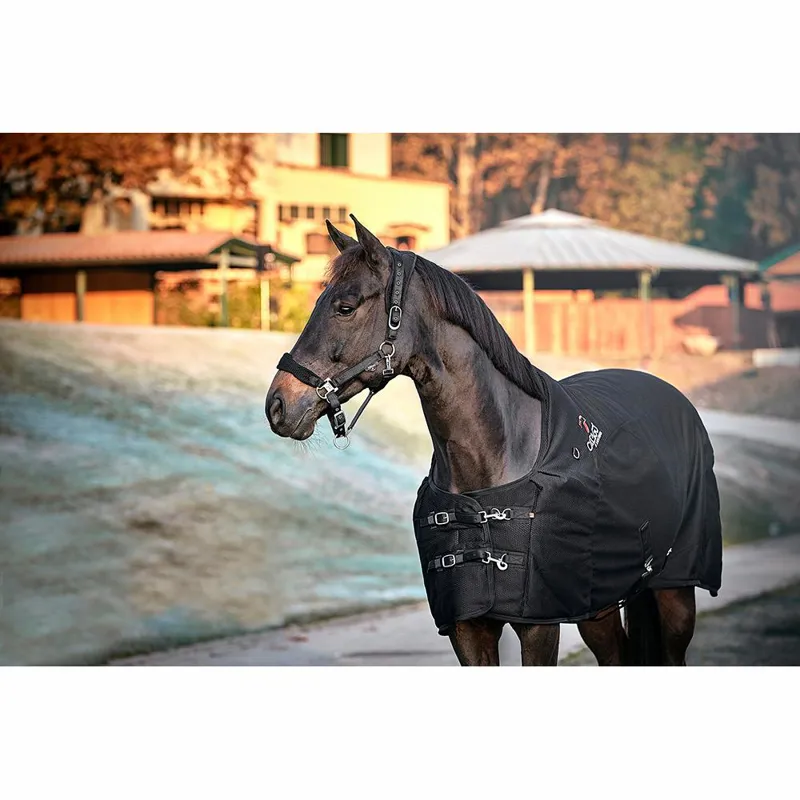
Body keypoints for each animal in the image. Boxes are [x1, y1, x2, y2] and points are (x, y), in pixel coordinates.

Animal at [265, 216, 722, 666]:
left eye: (345, 307)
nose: (278, 405)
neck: (496, 457)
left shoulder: (539, 627)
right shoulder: (468, 630)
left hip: (674, 595)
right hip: (598, 607)